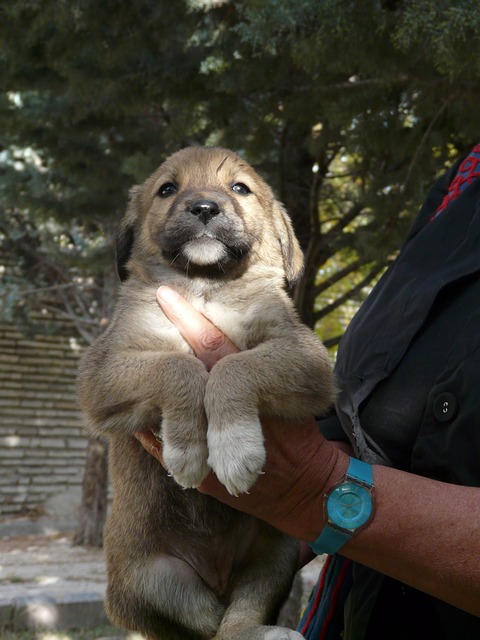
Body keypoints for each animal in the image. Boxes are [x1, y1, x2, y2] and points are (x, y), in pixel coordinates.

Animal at [78, 148, 334, 636]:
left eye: (239, 188)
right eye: (167, 189)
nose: (203, 208)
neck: (205, 288)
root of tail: (217, 574)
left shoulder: (305, 358)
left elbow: (233, 367)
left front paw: (234, 448)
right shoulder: (103, 373)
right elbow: (179, 366)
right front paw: (188, 448)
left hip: (274, 556)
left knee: (235, 618)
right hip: (152, 578)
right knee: (203, 625)